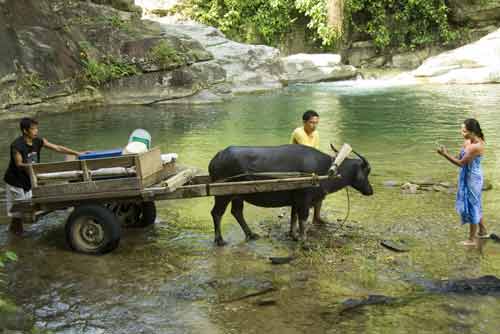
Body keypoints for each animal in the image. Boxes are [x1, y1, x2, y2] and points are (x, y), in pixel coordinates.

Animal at [207, 144, 372, 245]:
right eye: (366, 172)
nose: (371, 191)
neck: (325, 169)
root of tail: (217, 157)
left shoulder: (295, 201)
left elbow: (294, 217)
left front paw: (293, 235)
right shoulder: (304, 200)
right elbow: (303, 219)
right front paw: (304, 241)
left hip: (237, 195)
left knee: (236, 212)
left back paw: (251, 234)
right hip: (222, 195)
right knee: (217, 213)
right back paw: (220, 240)